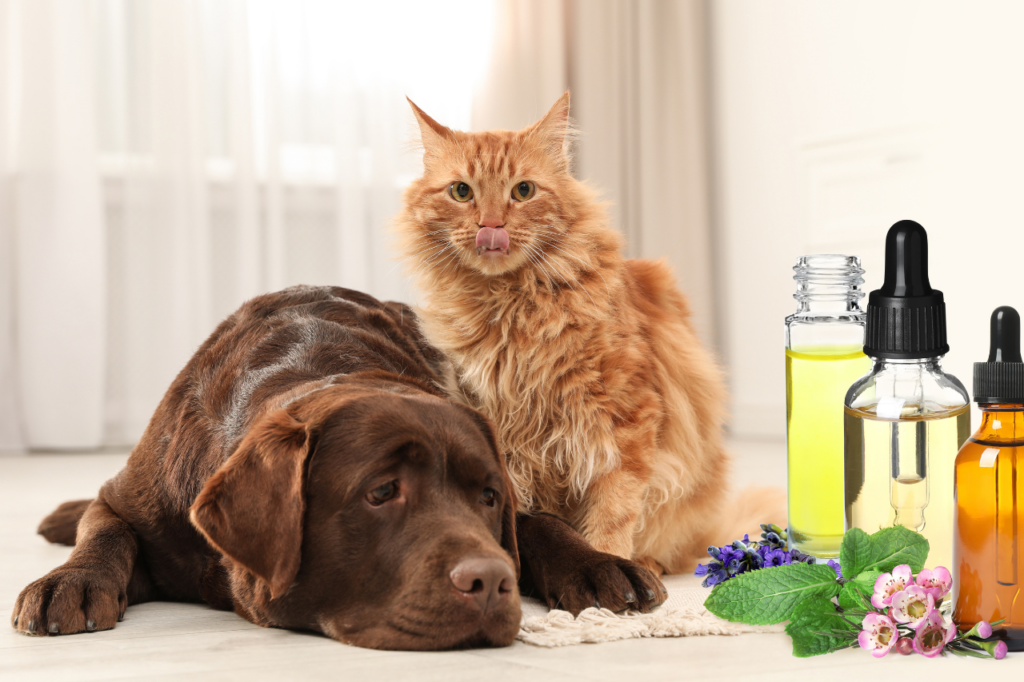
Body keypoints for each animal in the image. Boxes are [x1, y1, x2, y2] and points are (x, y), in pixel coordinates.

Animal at [395, 90, 770, 569]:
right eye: (462, 192)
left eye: (523, 191)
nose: (491, 226)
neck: (511, 308)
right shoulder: (498, 424)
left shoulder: (625, 418)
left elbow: (614, 511)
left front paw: (612, 568)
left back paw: (648, 565)